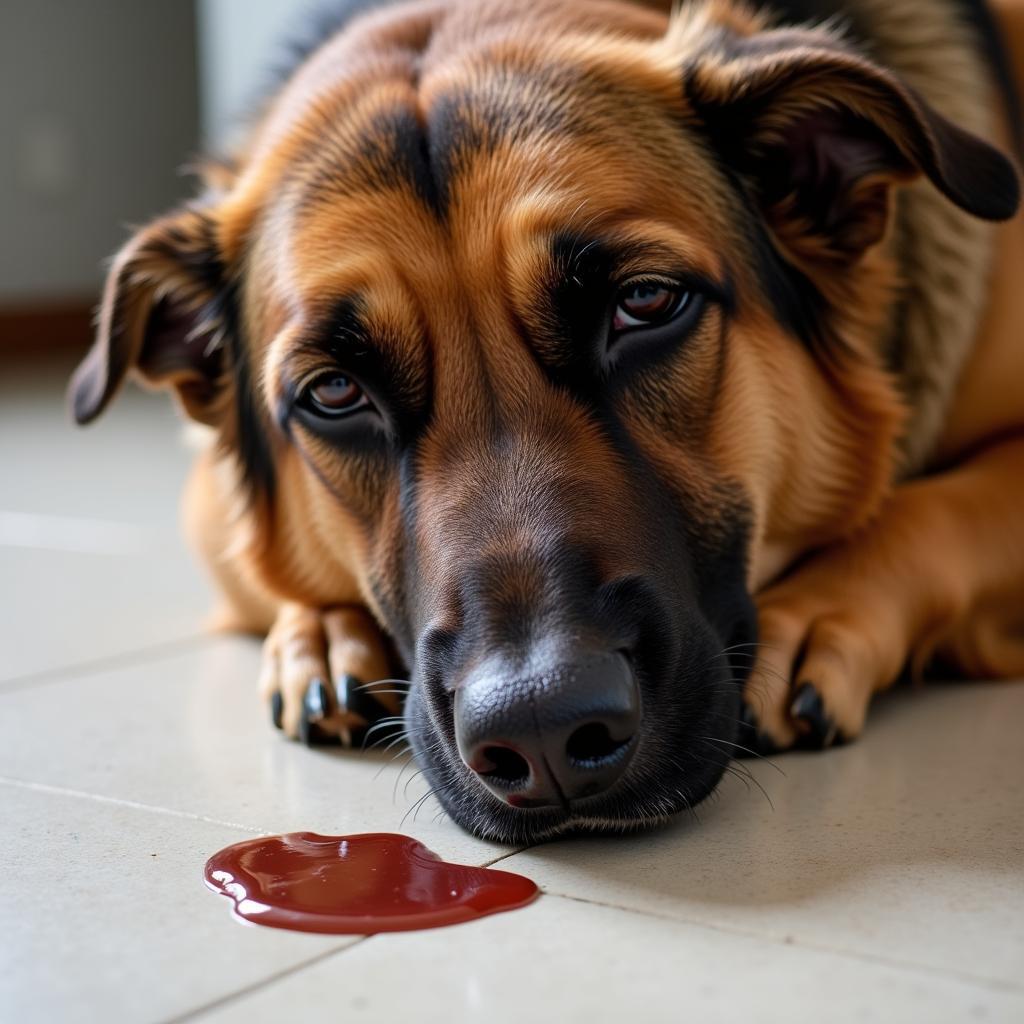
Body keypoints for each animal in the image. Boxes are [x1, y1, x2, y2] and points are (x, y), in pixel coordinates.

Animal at [70, 0, 1024, 839]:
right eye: (335, 393)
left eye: (645, 303)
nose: (543, 731)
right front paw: (323, 631)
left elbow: (930, 508)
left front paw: (818, 614)